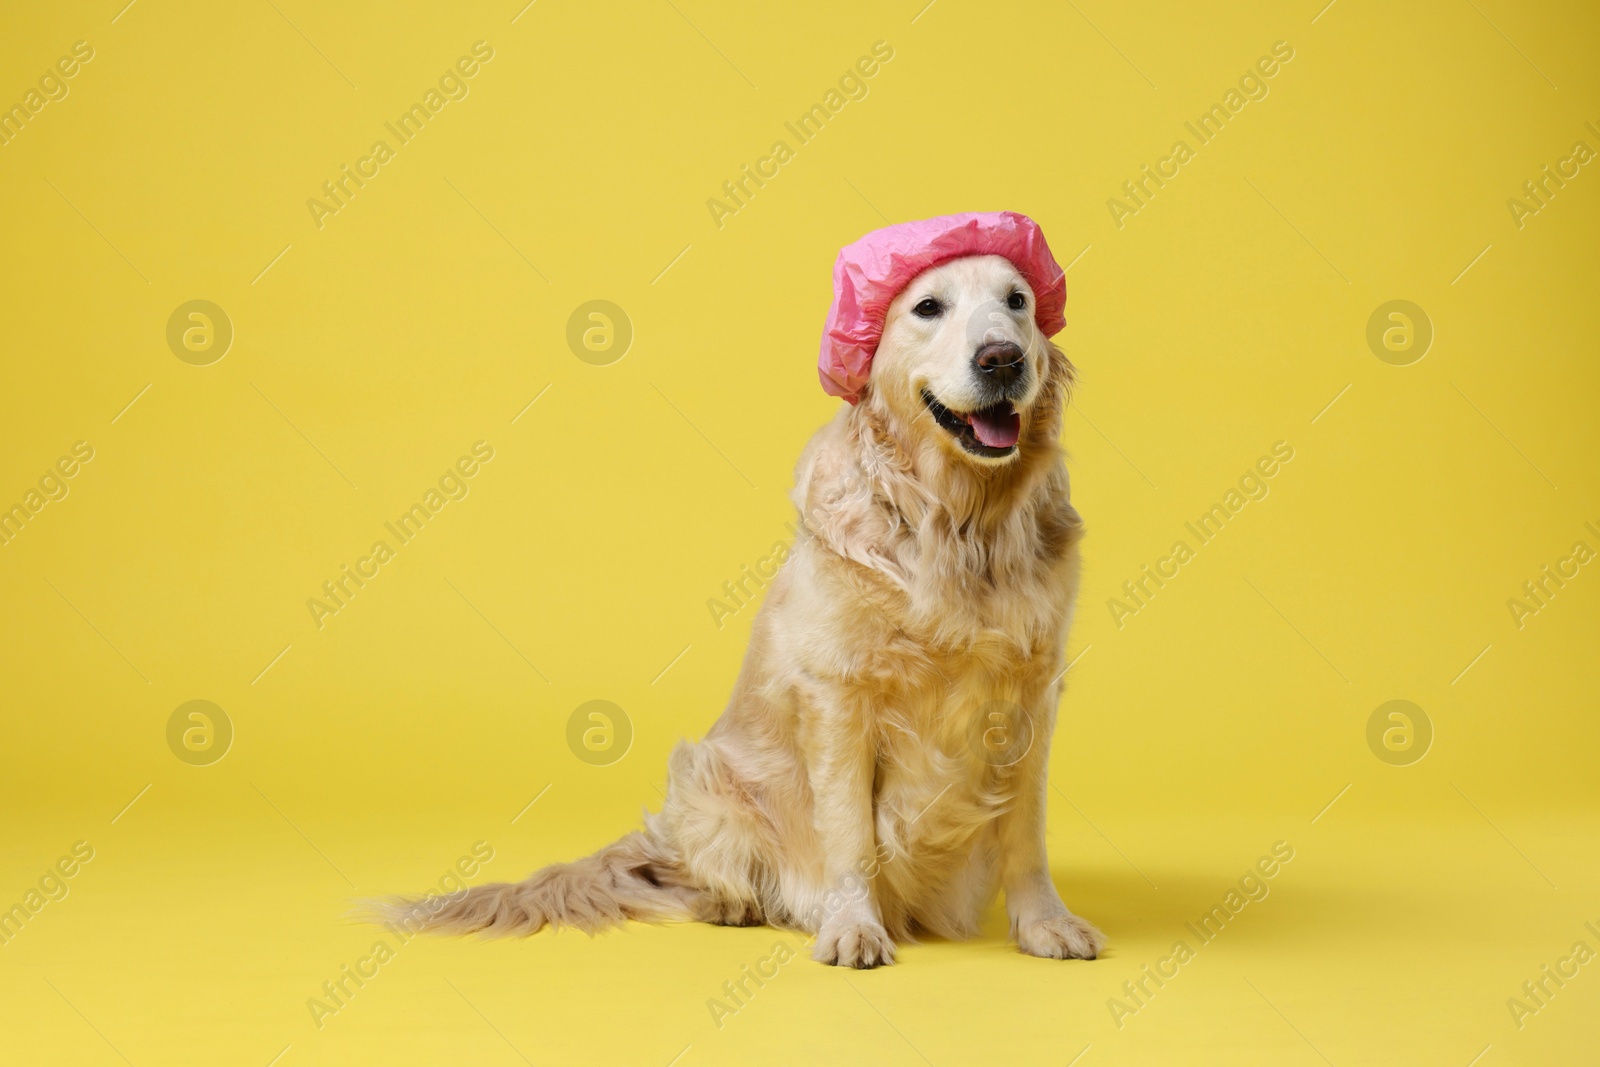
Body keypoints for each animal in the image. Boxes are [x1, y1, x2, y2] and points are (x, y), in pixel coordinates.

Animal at [374, 241, 1100, 966]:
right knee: (699, 874)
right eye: (928, 307)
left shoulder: (1033, 690)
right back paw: (733, 904)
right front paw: (854, 927)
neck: (961, 525)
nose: (1002, 357)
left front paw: (1045, 923)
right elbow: (850, 834)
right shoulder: (839, 694)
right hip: (704, 775)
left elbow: (1025, 830)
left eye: (1017, 302)